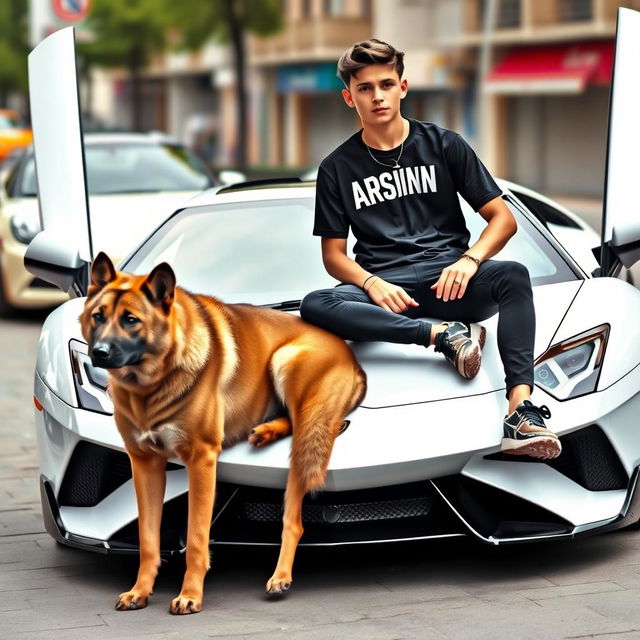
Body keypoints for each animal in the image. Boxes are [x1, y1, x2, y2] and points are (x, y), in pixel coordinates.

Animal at [78, 252, 368, 612]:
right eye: (98, 316)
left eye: (131, 320)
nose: (99, 353)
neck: (152, 385)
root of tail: (351, 355)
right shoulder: (144, 463)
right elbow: (148, 539)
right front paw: (140, 591)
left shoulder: (201, 461)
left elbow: (196, 537)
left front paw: (190, 595)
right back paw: (265, 430)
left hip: (288, 371)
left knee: (294, 518)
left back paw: (280, 577)